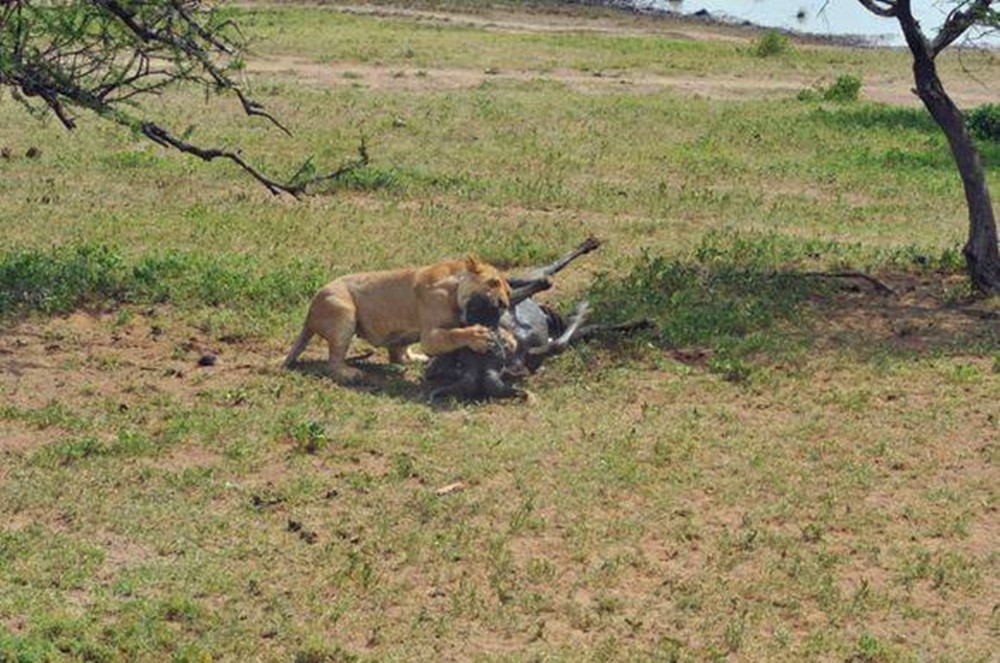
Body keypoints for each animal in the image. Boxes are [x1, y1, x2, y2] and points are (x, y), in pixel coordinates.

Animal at [284, 258, 512, 384]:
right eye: (493, 282)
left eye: (509, 292)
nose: (504, 304)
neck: (455, 286)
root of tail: (310, 310)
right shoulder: (430, 336)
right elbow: (455, 333)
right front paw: (479, 336)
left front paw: (508, 338)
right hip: (344, 314)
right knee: (333, 363)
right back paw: (350, 374)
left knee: (399, 356)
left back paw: (416, 360)